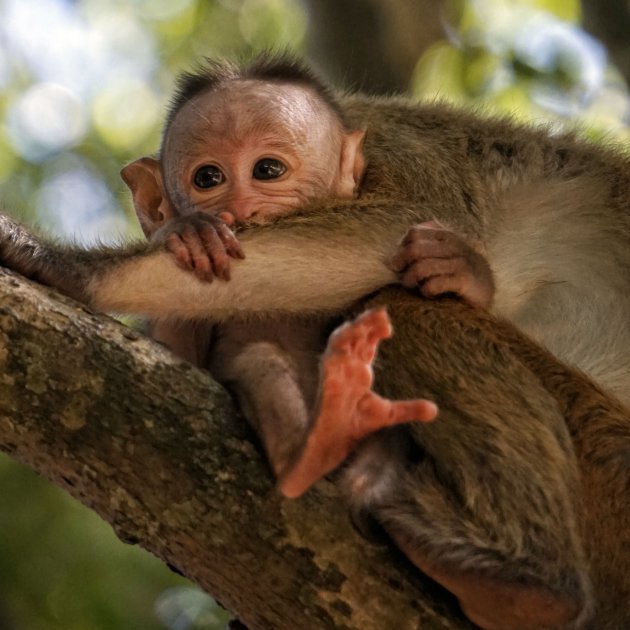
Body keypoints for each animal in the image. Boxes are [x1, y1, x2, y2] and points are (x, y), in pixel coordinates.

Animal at [0, 56, 628, 628]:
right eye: (208, 178)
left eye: (269, 169)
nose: (243, 208)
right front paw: (190, 238)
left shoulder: (405, 149)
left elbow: (399, 223)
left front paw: (71, 268)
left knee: (399, 306)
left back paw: (530, 580)